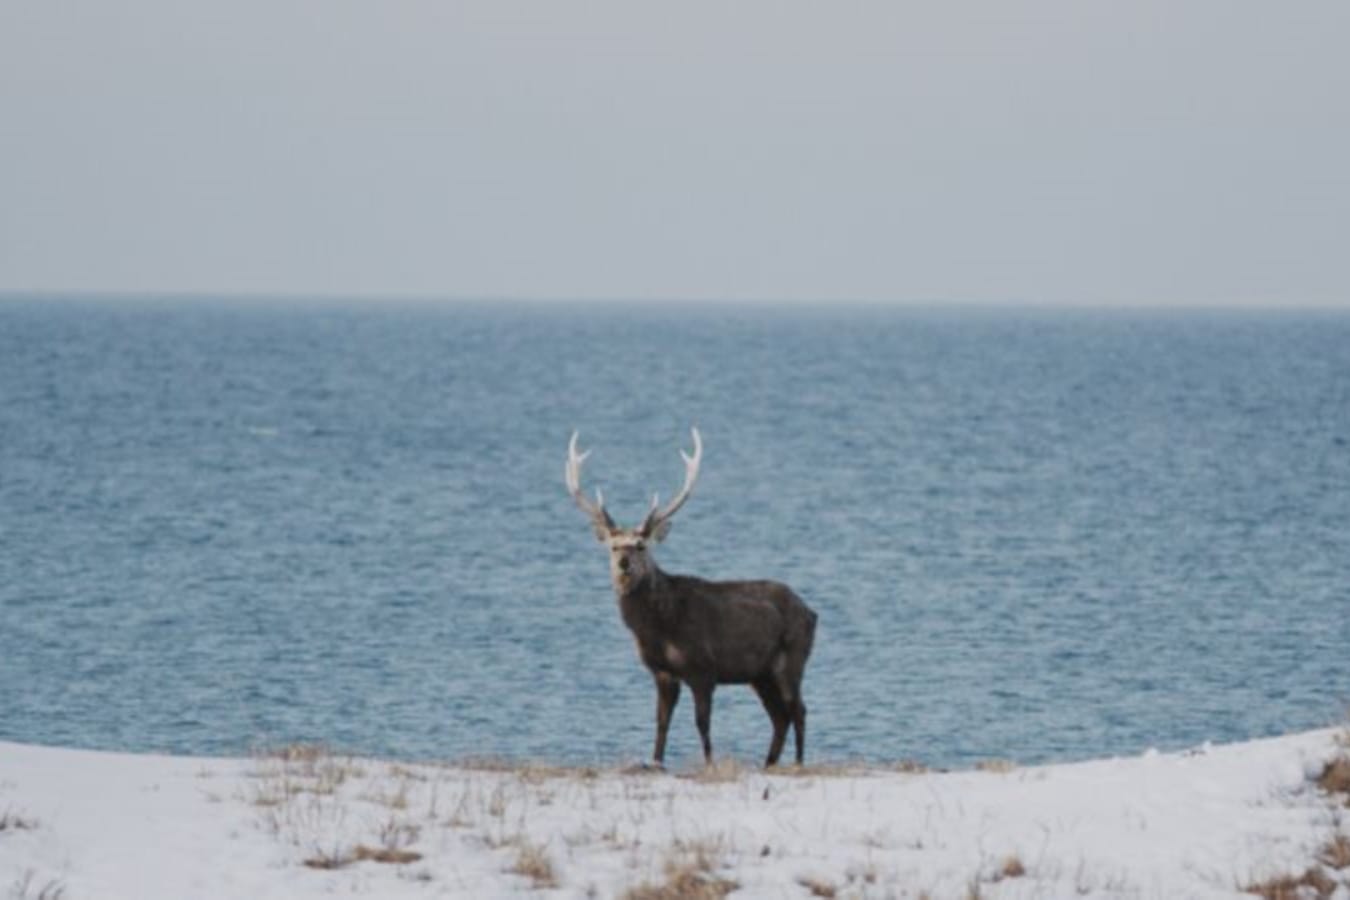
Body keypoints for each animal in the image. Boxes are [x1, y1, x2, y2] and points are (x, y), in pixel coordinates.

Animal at [565, 428, 818, 769]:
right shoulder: (661, 672)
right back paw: (769, 763)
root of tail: (812, 613)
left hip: (792, 659)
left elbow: (702, 722)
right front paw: (657, 762)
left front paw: (710, 762)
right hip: (760, 674)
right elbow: (661, 722)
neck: (658, 629)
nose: (624, 563)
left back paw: (798, 762)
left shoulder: (703, 668)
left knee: (799, 710)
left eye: (641, 545)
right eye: (614, 546)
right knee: (780, 717)